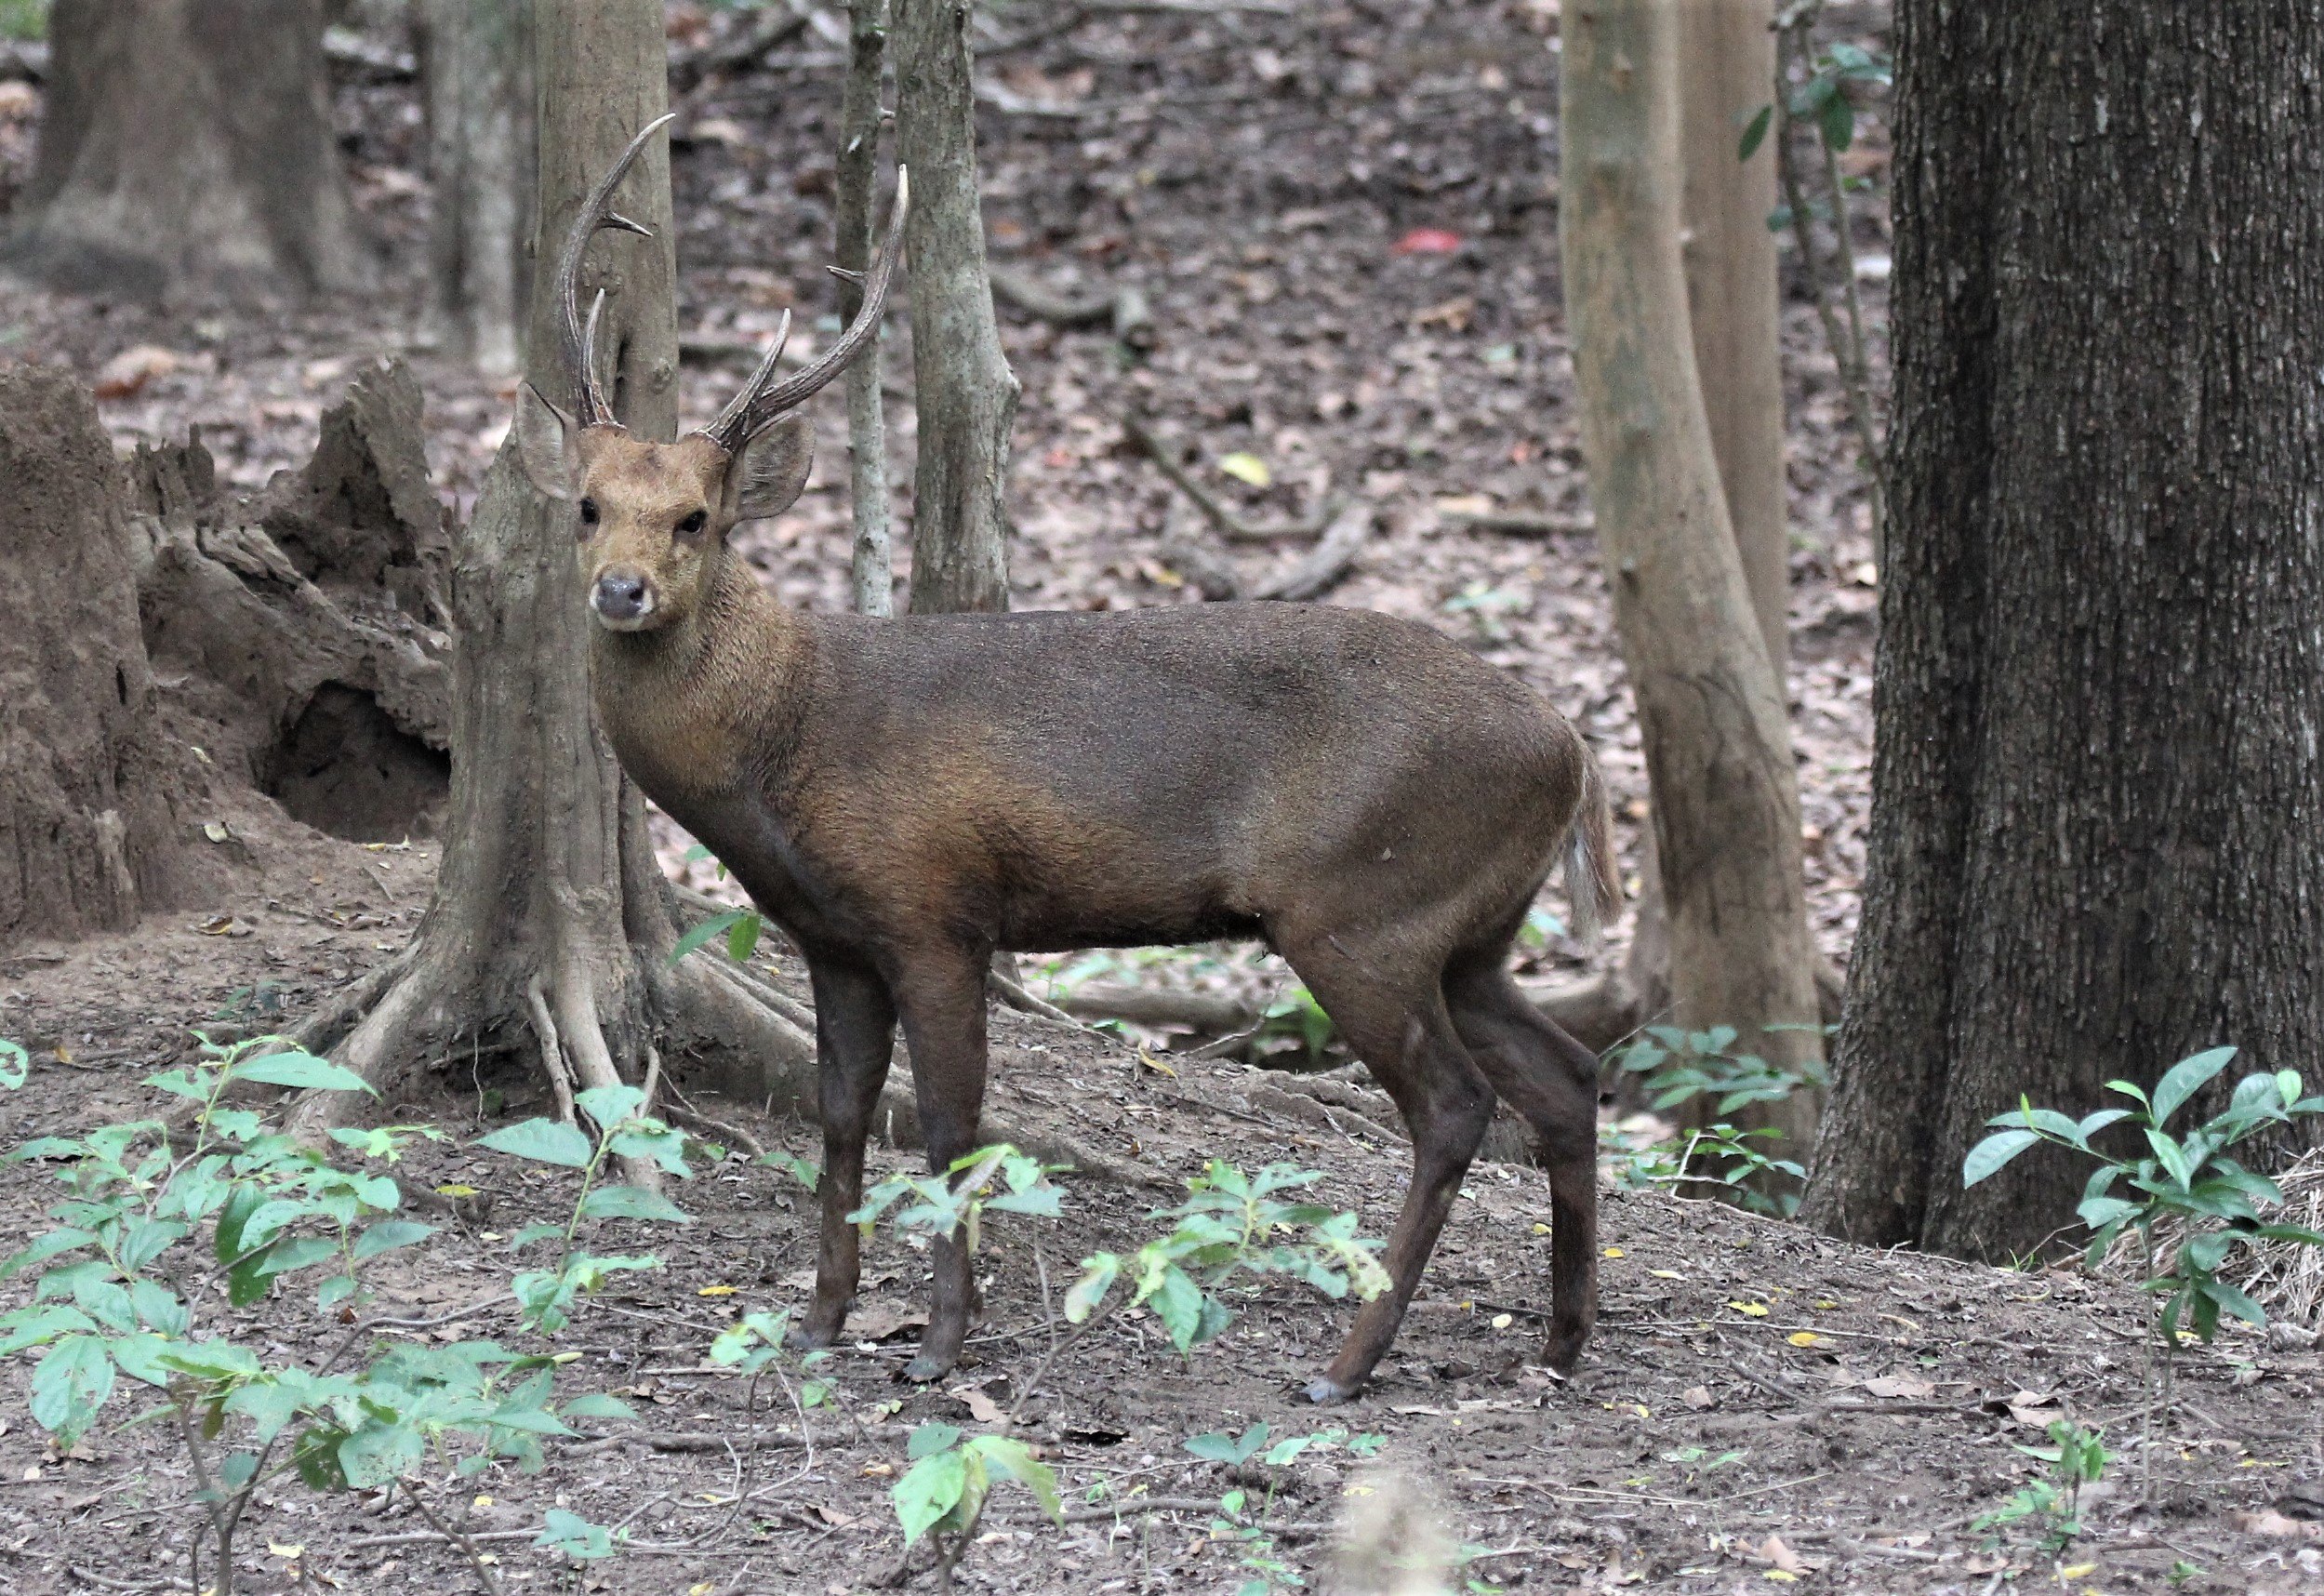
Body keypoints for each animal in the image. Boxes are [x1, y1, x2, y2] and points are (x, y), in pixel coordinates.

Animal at [513, 118, 1622, 1403]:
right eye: (589, 506)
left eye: (696, 517)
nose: (622, 591)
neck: (787, 749)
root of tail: (1575, 749)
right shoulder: (832, 937)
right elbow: (843, 1119)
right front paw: (820, 1323)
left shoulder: (935, 909)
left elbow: (951, 1125)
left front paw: (939, 1345)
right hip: (1469, 927)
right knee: (1566, 1072)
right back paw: (1560, 1340)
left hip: (1362, 906)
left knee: (1453, 1105)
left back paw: (1345, 1364)